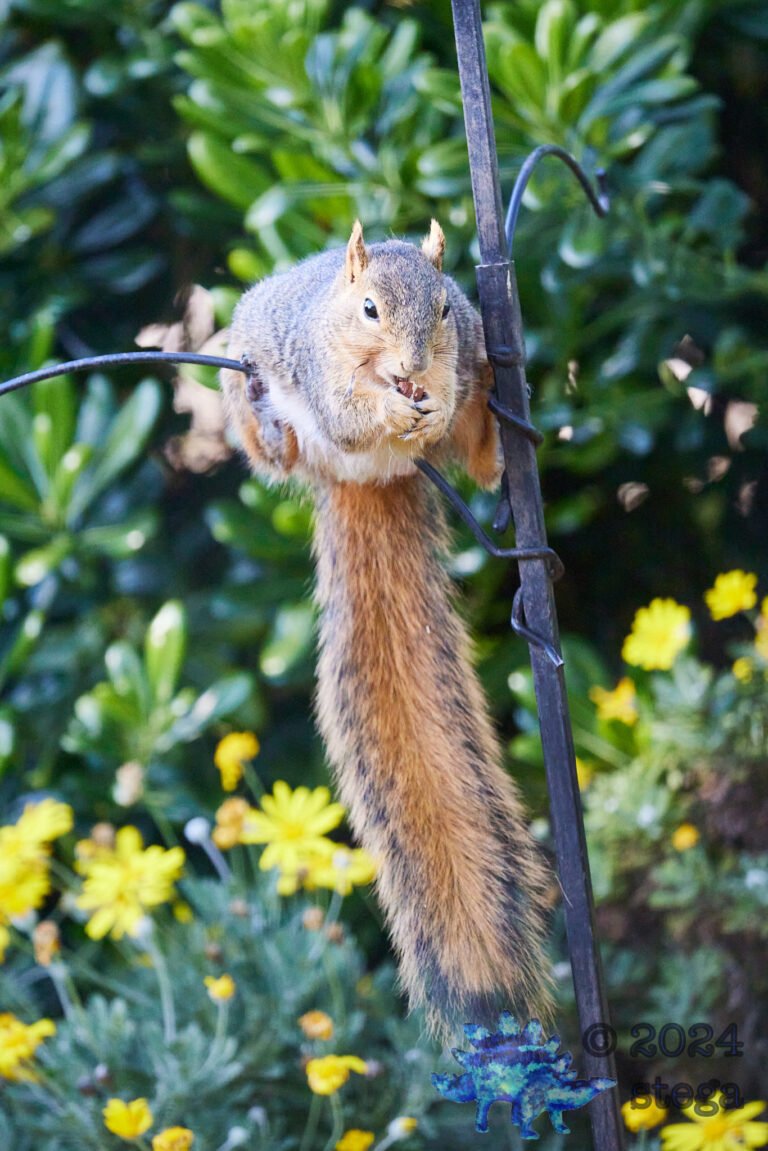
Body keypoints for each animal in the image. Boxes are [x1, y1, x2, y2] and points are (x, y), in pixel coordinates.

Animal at [221, 220, 554, 1039]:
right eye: (369, 308)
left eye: (444, 308)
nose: (411, 369)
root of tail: (367, 479)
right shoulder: (324, 373)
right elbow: (348, 411)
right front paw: (391, 410)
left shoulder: (455, 353)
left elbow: (448, 396)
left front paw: (430, 400)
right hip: (262, 410)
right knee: (277, 446)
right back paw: (273, 421)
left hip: (465, 416)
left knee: (474, 454)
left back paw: (489, 427)